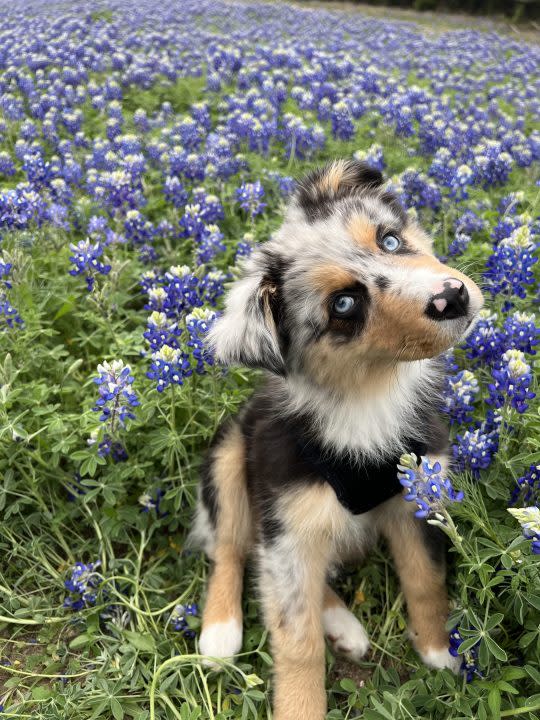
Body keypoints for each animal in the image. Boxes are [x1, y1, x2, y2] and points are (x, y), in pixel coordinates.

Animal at [191, 160, 486, 716]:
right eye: (344, 304)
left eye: (390, 240)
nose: (451, 296)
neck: (366, 397)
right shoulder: (288, 526)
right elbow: (296, 639)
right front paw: (299, 707)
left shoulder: (416, 497)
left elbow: (426, 578)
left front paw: (440, 650)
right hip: (229, 459)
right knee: (232, 548)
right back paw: (220, 632)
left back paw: (343, 625)